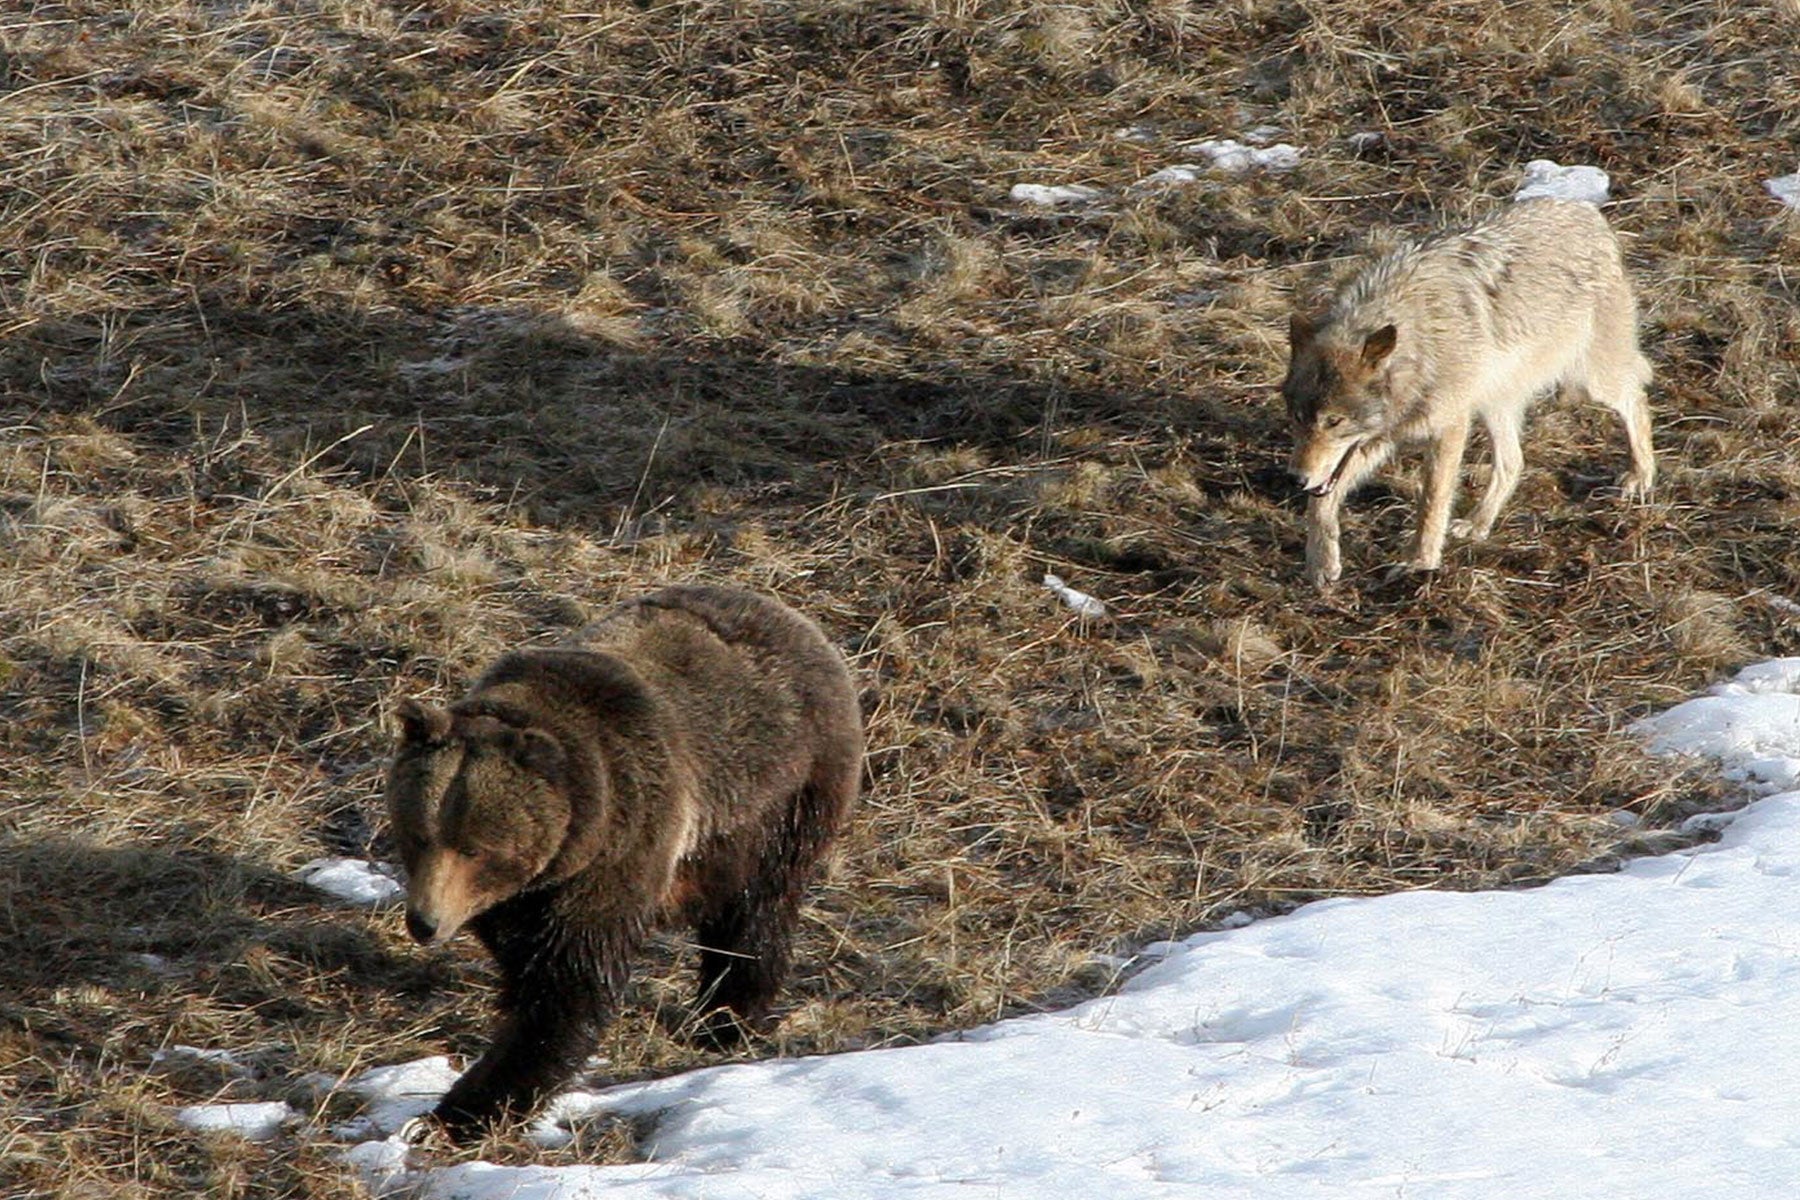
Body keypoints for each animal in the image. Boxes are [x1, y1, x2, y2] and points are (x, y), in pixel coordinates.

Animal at [384, 584, 864, 1139]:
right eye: (418, 834)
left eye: (474, 848)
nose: (424, 922)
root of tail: (795, 619)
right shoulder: (523, 895)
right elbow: (525, 958)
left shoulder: (622, 845)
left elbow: (569, 986)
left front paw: (465, 1108)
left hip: (779, 800)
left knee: (755, 913)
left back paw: (725, 1018)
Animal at [1281, 198, 1656, 589]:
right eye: (1298, 418)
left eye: (1334, 421)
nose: (1295, 478)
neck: (1418, 348)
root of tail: (1587, 211)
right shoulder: (1377, 440)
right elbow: (1321, 502)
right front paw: (1321, 562)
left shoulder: (1449, 428)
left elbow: (1431, 501)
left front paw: (1419, 562)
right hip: (1495, 404)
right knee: (1513, 461)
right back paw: (1478, 524)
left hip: (1591, 380)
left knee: (1637, 399)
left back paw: (1640, 476)